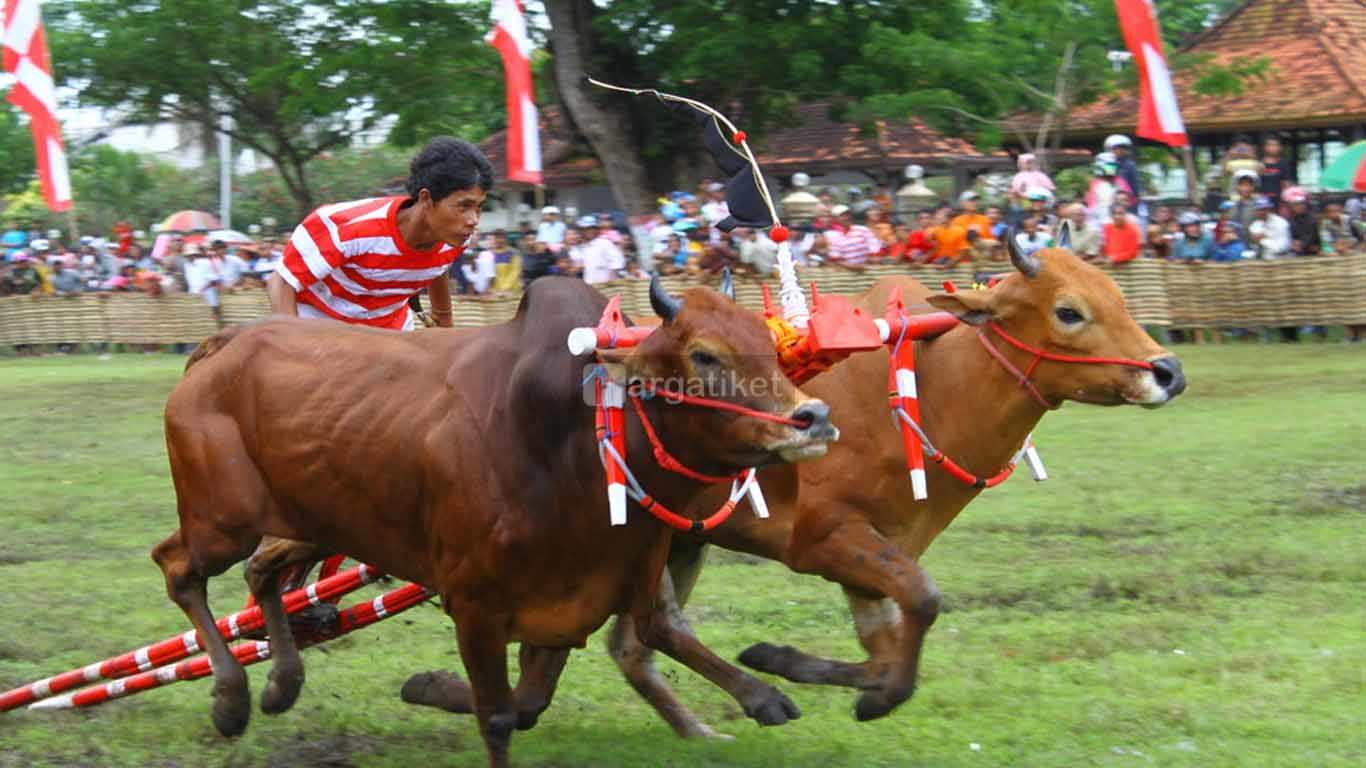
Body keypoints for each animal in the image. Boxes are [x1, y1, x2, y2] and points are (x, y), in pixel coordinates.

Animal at [152, 271, 830, 759]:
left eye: (768, 345)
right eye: (705, 355)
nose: (814, 417)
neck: (575, 438)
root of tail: (223, 343)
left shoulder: (599, 588)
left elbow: (644, 640)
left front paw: (762, 695)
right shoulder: (475, 606)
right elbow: (501, 715)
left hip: (314, 525)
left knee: (263, 571)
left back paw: (280, 684)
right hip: (223, 522)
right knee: (178, 567)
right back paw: (231, 699)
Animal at [404, 241, 1185, 732]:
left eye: (1117, 295)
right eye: (1069, 311)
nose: (1168, 371)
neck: (924, 388)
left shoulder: (874, 551)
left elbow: (889, 638)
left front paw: (808, 669)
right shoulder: (826, 539)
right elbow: (921, 605)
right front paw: (859, 692)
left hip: (673, 543)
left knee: (616, 650)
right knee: (596, 651)